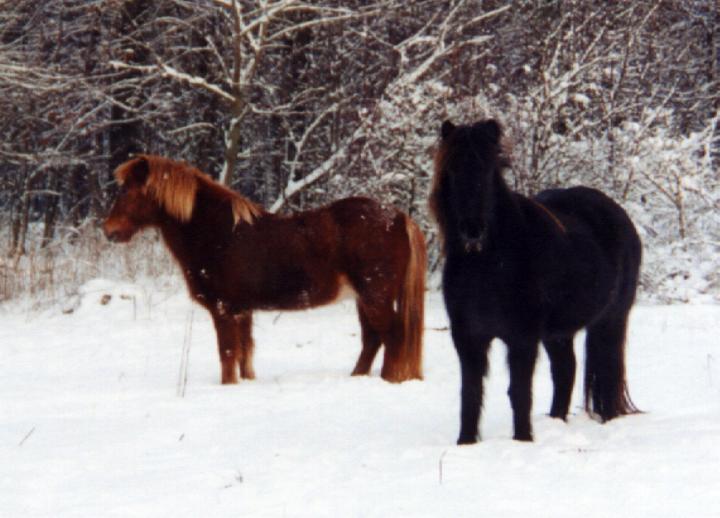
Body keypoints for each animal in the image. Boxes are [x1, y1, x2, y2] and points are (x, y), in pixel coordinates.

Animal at [104, 154, 424, 386]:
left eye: (129, 191)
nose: (109, 231)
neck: (221, 234)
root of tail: (398, 217)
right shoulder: (242, 310)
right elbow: (245, 354)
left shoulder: (223, 309)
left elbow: (228, 354)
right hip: (363, 299)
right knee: (373, 340)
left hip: (375, 297)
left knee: (393, 336)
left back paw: (391, 381)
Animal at [430, 120, 644, 444]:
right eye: (451, 171)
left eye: (488, 171)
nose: (472, 230)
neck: (487, 265)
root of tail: (620, 215)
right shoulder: (468, 337)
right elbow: (471, 393)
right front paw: (466, 442)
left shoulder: (522, 338)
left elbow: (519, 392)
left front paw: (523, 440)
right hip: (558, 333)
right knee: (566, 371)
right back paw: (557, 421)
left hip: (610, 321)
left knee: (606, 370)